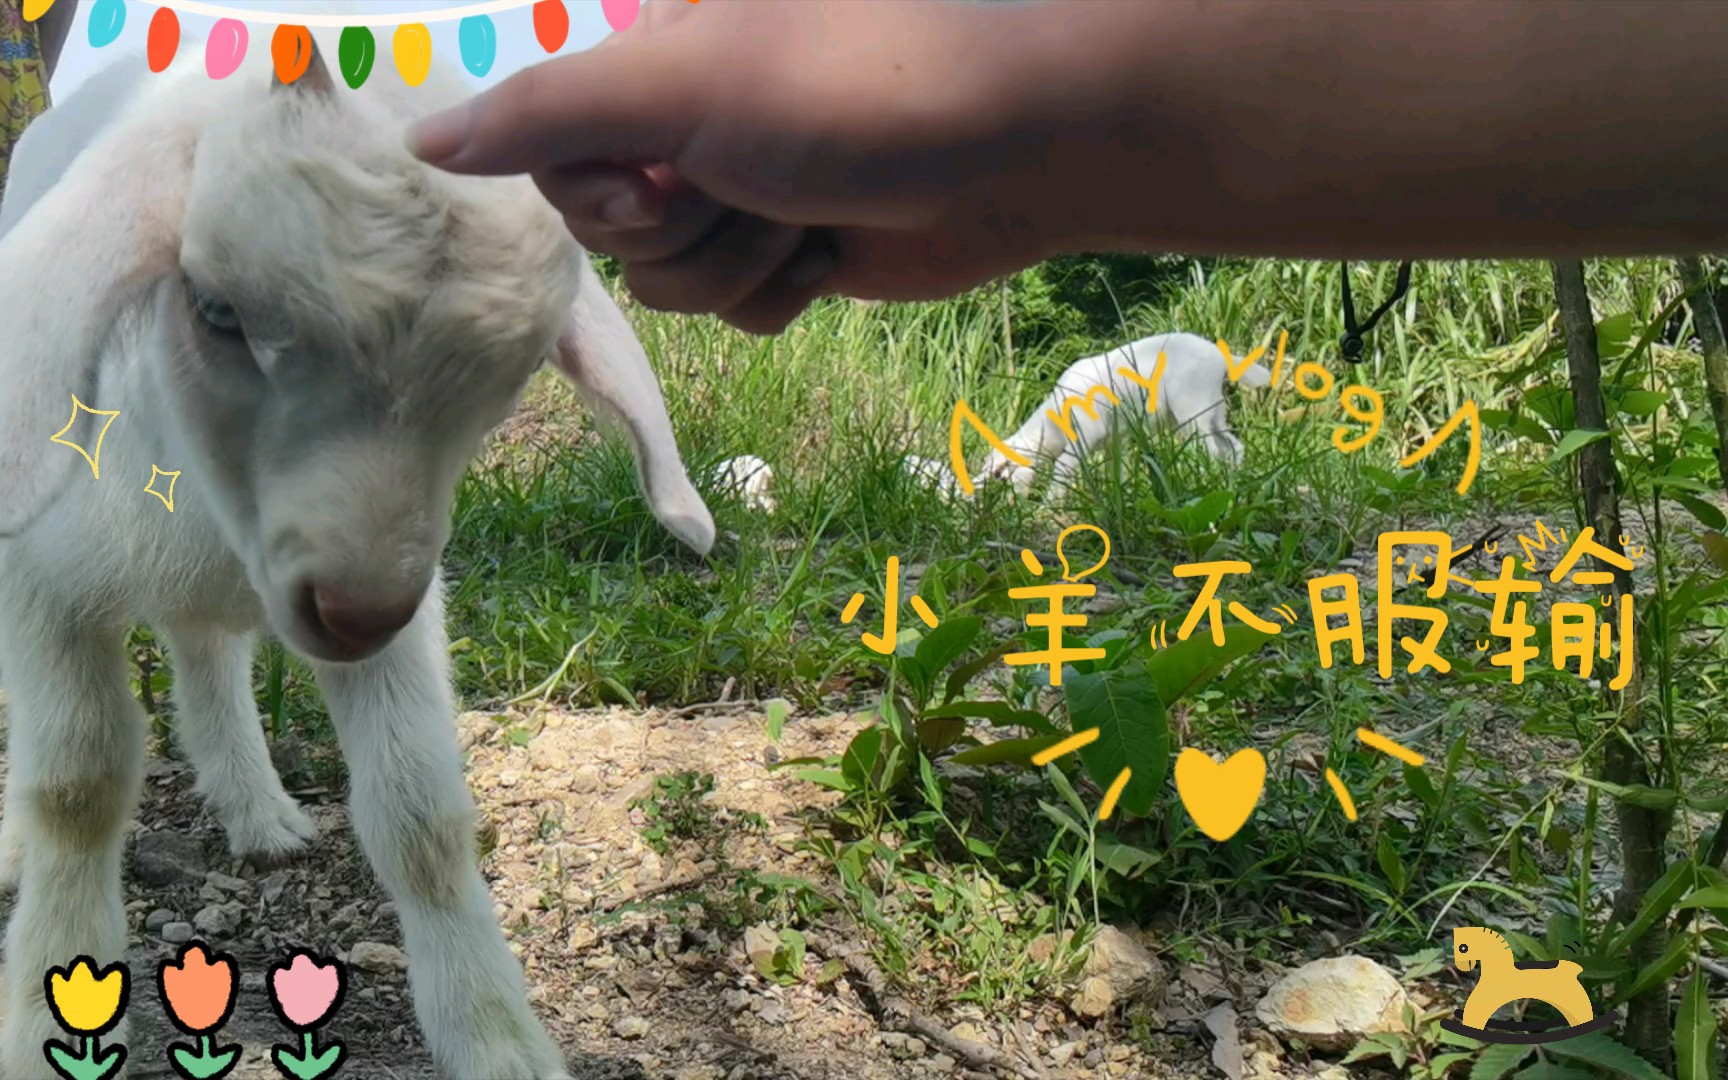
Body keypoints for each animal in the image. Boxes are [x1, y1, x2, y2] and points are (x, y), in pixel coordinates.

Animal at [0, 36, 713, 1079]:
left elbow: (421, 815)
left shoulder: (394, 597)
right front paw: (45, 1010)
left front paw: (495, 1037)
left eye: (514, 375)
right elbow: (75, 792)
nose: (355, 611)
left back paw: (257, 810)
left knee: (208, 653)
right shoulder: (42, 587)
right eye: (215, 309)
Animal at [978, 332, 1274, 497]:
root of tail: (1219, 356)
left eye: (1000, 476)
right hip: (1213, 412)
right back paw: (1234, 483)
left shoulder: (1082, 438)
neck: (1051, 424)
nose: (1011, 506)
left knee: (1211, 451)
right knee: (1233, 447)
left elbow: (1062, 470)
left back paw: (1209, 483)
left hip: (1191, 410)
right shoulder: (1113, 441)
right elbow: (1115, 473)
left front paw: (1049, 508)